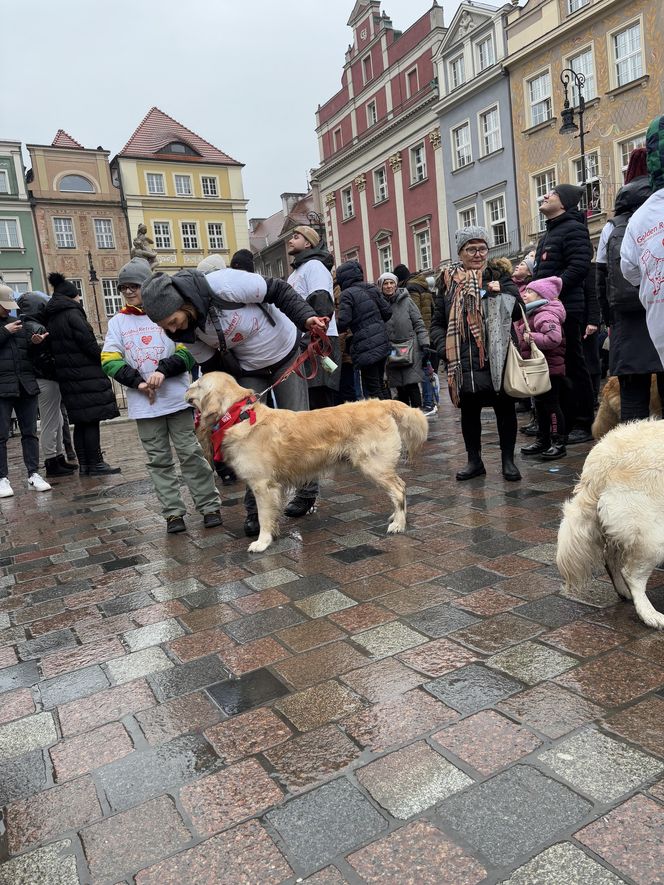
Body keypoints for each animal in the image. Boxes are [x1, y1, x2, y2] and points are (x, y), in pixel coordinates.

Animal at [185, 370, 430, 548]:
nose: (184, 391)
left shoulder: (263, 485)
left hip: (373, 465)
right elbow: (271, 515)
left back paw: (398, 524)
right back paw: (395, 516)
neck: (239, 416)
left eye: (197, 383)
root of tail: (381, 402)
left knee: (399, 489)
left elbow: (264, 516)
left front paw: (262, 542)